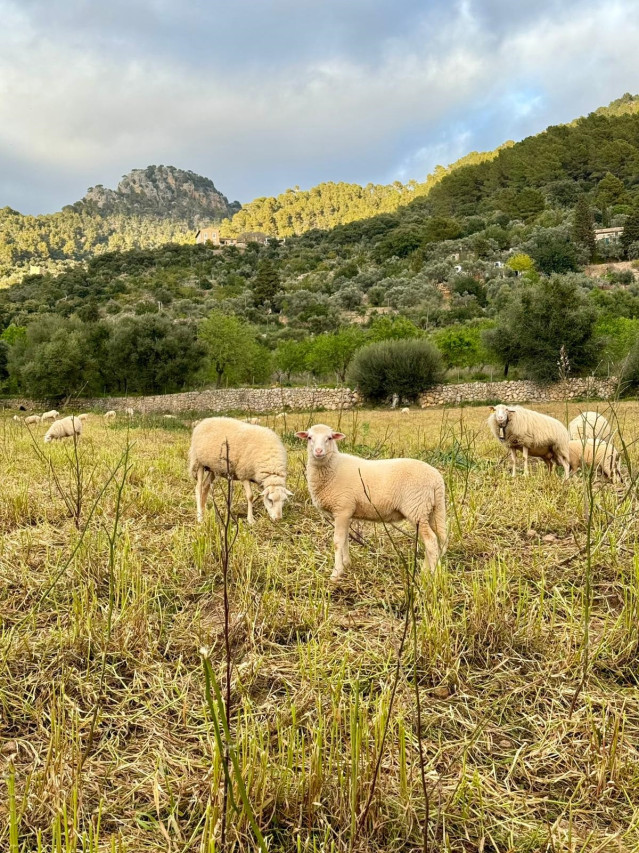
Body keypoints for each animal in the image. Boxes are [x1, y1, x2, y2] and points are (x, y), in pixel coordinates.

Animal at [296, 424, 446, 581]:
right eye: (309, 437)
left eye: (329, 438)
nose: (318, 451)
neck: (334, 467)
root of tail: (437, 479)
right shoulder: (346, 512)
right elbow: (345, 540)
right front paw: (347, 564)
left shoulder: (342, 509)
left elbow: (338, 541)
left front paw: (336, 573)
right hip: (431, 510)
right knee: (435, 540)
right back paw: (427, 571)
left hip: (417, 508)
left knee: (431, 541)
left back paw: (431, 576)